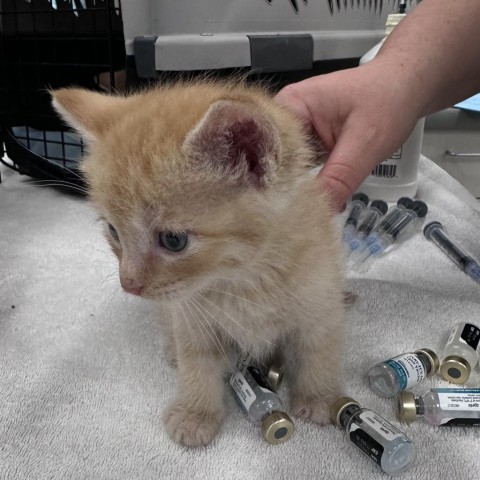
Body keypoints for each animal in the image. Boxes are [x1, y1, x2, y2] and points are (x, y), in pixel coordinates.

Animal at [51, 80, 344, 448]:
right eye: (113, 231)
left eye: (173, 240)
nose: (128, 284)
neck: (245, 279)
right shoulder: (190, 315)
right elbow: (197, 363)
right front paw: (196, 414)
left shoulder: (320, 299)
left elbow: (318, 348)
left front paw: (318, 396)